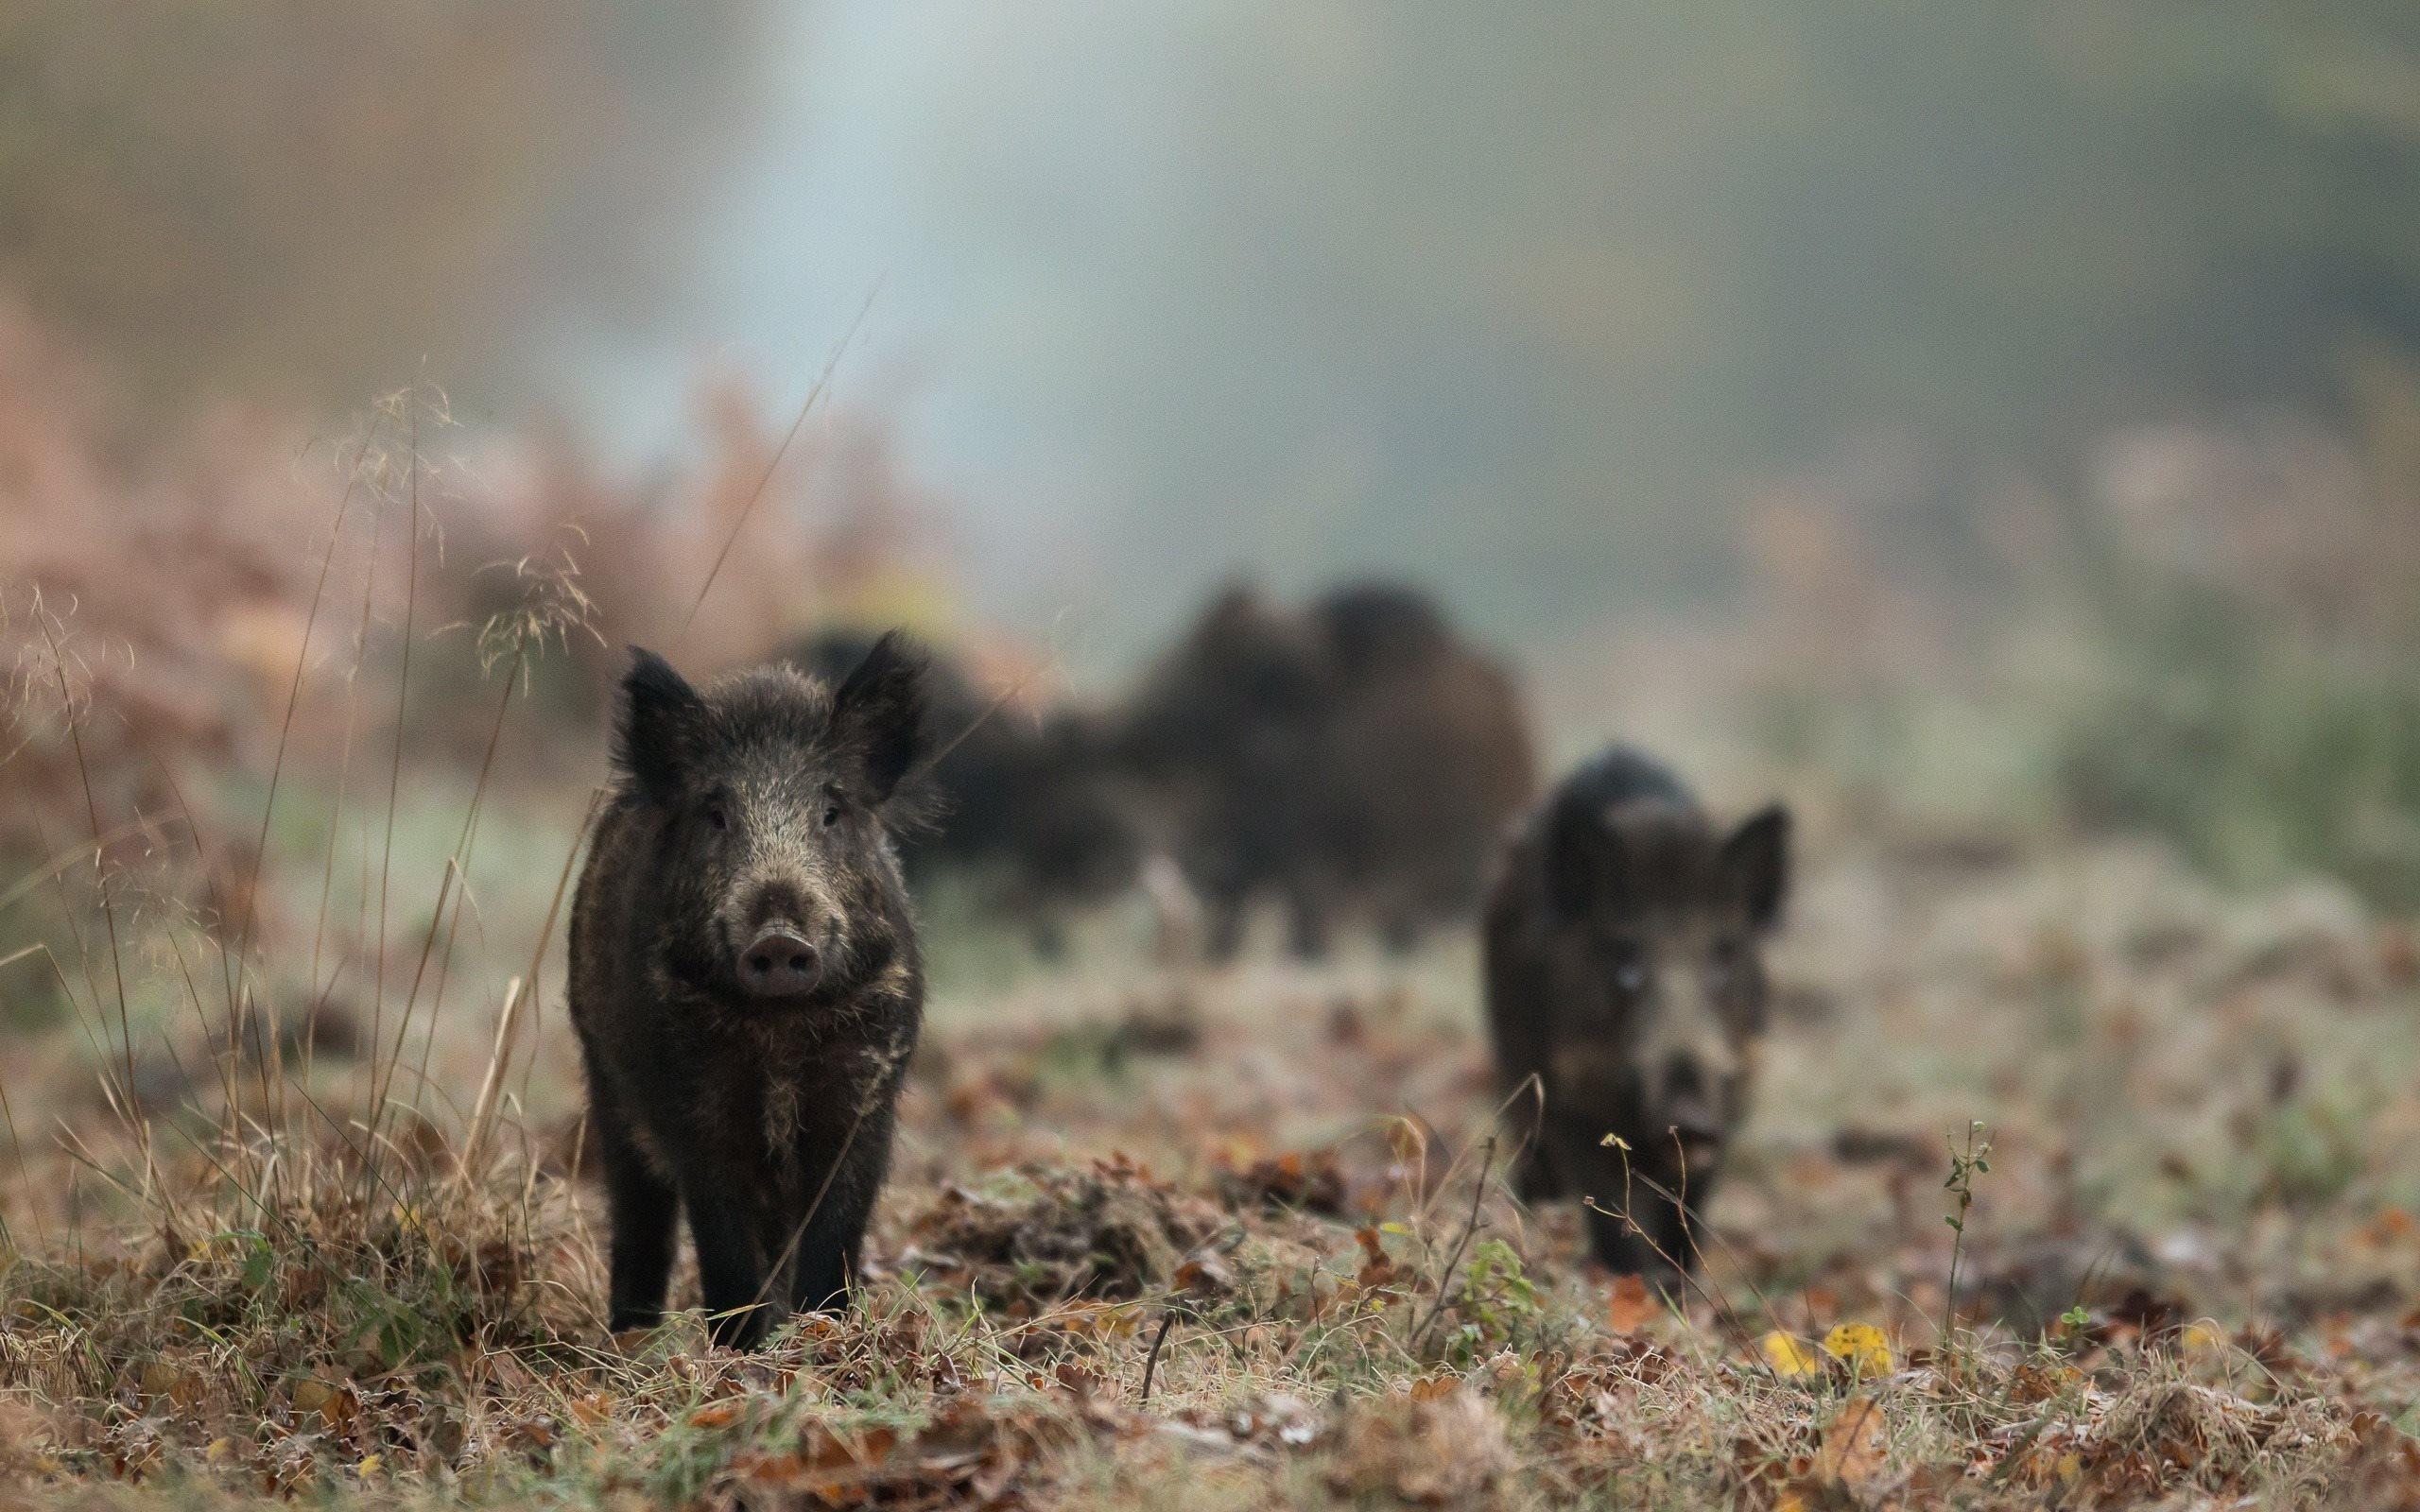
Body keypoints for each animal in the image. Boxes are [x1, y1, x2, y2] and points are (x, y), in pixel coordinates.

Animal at [568, 635, 927, 1347]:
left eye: (831, 811)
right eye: (716, 814)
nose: (780, 939)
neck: (779, 1035)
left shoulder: (865, 1092)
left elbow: (835, 1230)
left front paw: (821, 1335)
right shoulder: (692, 1100)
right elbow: (723, 1240)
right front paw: (740, 1350)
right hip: (606, 1083)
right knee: (640, 1218)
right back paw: (631, 1338)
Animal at [1482, 747, 1789, 1285]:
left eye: (1724, 954)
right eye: (1625, 956)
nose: (1688, 1115)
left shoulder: (1731, 1106)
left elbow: (1685, 1221)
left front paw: (1677, 1289)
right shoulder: (1568, 1105)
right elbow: (1608, 1215)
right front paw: (1632, 1285)